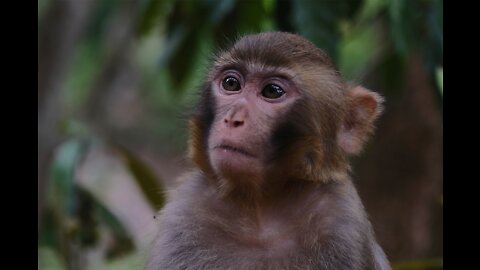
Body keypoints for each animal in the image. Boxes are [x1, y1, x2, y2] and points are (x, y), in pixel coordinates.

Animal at [146, 32, 390, 270]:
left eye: (272, 91)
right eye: (231, 83)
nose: (233, 119)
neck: (259, 209)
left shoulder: (343, 226)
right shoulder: (183, 216)